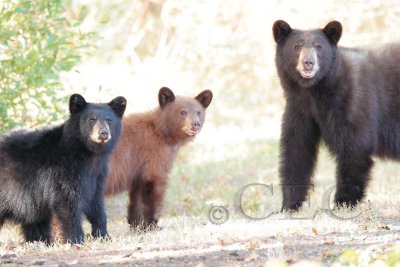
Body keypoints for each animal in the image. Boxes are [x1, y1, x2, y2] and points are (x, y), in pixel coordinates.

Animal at [0, 94, 126, 245]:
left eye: (109, 120)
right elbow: (68, 204)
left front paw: (104, 236)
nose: (103, 133)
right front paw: (76, 240)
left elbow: (96, 203)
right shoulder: (64, 171)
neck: (88, 154)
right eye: (91, 119)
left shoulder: (97, 174)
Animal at [105, 88, 212, 230]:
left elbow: (137, 197)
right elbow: (154, 189)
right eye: (182, 112)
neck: (160, 131)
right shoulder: (153, 156)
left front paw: (137, 226)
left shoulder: (138, 169)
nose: (195, 124)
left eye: (198, 112)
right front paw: (152, 226)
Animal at [274, 20, 400, 211]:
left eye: (319, 46)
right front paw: (289, 205)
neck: (314, 92)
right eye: (297, 46)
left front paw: (342, 203)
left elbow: (355, 147)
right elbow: (297, 151)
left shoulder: (352, 102)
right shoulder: (299, 109)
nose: (308, 62)